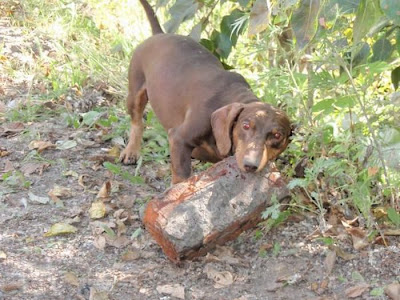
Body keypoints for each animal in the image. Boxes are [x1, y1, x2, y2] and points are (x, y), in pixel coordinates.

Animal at [119, 0, 290, 184]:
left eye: (277, 135)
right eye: (245, 125)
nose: (250, 165)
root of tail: (159, 34)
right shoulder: (179, 138)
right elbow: (181, 177)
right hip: (135, 91)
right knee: (137, 122)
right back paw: (131, 151)